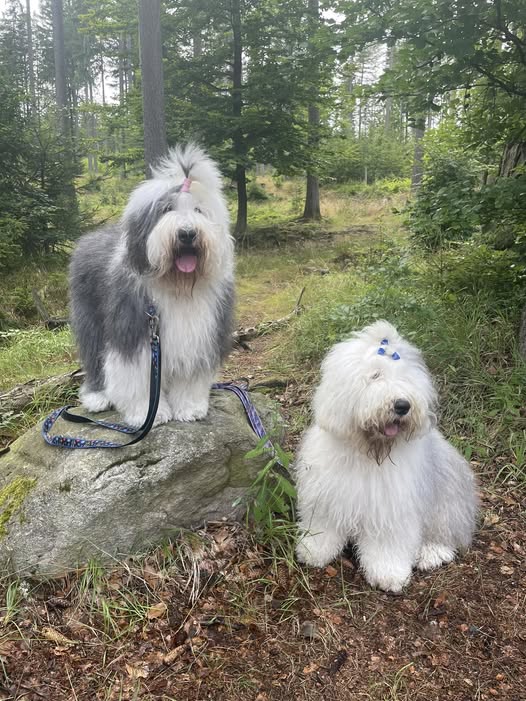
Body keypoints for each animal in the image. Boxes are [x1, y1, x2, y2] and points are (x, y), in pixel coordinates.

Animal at [69, 144, 234, 427]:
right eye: (166, 209)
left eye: (199, 211)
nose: (187, 233)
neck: (177, 285)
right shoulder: (133, 333)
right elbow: (136, 377)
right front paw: (149, 415)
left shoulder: (198, 335)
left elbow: (190, 376)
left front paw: (190, 408)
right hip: (90, 316)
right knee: (93, 353)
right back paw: (97, 397)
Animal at [295, 320, 477, 592]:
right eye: (375, 375)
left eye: (406, 378)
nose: (402, 405)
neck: (369, 452)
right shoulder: (328, 494)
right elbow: (323, 525)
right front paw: (313, 550)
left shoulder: (390, 508)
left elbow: (388, 544)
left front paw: (388, 574)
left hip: (447, 503)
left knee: (447, 536)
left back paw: (430, 553)